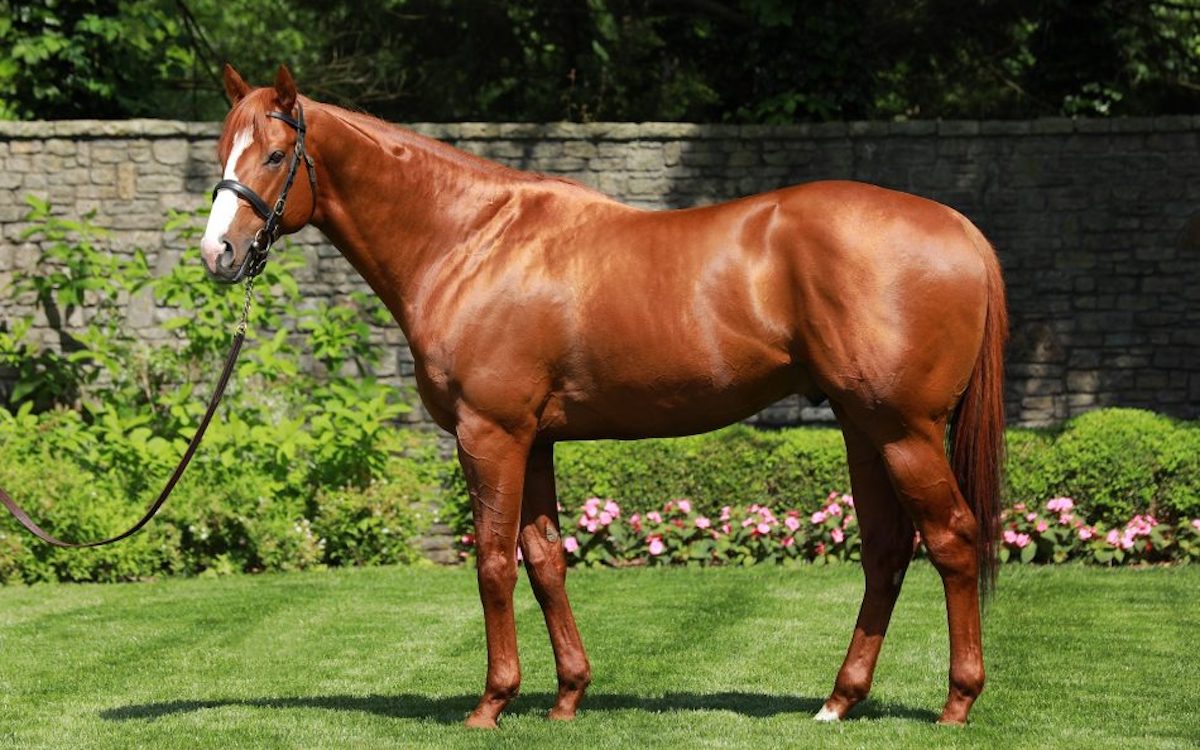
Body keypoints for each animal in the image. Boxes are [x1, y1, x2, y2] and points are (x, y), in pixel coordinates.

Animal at [204, 67, 1003, 729]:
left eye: (274, 155)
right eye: (222, 150)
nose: (218, 254)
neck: (470, 241)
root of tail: (961, 228)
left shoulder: (489, 434)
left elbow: (493, 562)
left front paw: (492, 703)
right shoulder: (534, 440)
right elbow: (544, 559)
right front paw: (567, 696)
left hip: (904, 430)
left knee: (953, 540)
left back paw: (957, 703)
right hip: (862, 427)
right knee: (887, 551)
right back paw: (840, 701)